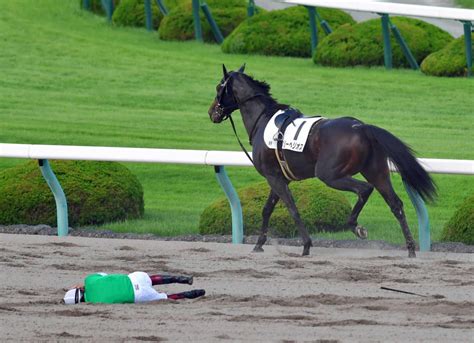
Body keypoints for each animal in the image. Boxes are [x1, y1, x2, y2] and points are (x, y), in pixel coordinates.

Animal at [207, 65, 436, 258]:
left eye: (219, 86)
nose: (212, 112)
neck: (263, 119)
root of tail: (362, 127)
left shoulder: (274, 177)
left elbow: (292, 208)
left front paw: (306, 245)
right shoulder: (279, 176)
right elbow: (267, 209)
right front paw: (258, 244)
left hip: (329, 174)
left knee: (364, 189)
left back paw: (356, 227)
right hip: (376, 171)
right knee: (395, 204)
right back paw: (410, 248)